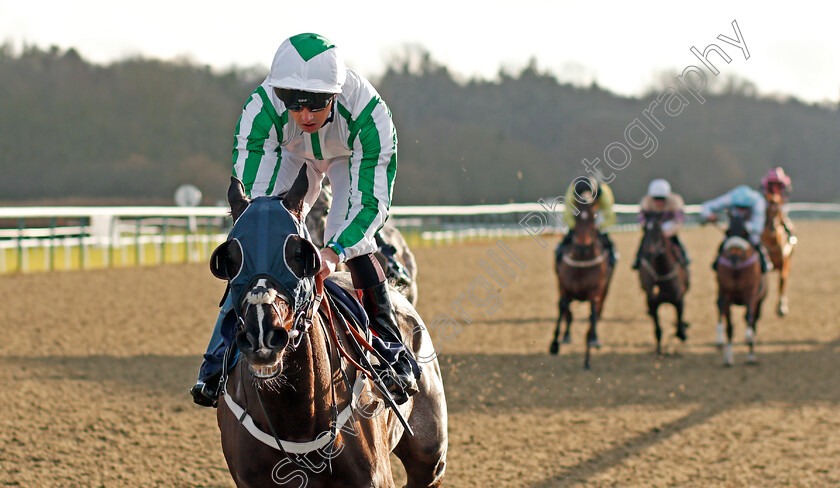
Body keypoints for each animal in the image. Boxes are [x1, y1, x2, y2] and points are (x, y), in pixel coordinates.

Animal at [548, 198, 612, 370]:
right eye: (575, 218)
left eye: (593, 217)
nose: (583, 245)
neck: (582, 261)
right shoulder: (565, 287)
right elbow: (563, 308)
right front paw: (554, 344)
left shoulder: (594, 293)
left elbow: (593, 317)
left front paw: (588, 358)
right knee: (567, 313)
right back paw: (566, 336)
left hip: (604, 290)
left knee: (597, 314)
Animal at [636, 212, 688, 356]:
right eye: (644, 229)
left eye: (658, 230)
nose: (648, 252)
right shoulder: (652, 302)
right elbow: (658, 329)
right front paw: (659, 351)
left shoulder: (679, 300)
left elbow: (679, 324)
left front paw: (682, 333)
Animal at [716, 214, 768, 366]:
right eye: (727, 231)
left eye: (746, 232)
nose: (733, 257)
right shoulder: (725, 294)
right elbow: (729, 326)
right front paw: (728, 357)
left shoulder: (751, 293)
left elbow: (748, 316)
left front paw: (748, 336)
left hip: (760, 301)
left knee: (754, 321)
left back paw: (751, 355)